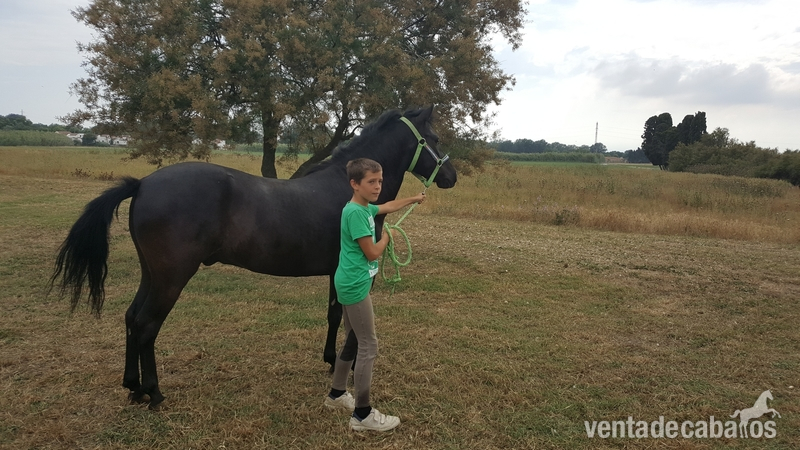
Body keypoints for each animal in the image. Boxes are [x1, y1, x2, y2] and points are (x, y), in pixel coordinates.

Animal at [49, 105, 457, 409]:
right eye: (435, 138)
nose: (451, 177)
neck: (349, 189)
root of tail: (143, 184)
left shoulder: (336, 273)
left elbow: (334, 315)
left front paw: (331, 361)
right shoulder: (359, 273)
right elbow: (354, 324)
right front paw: (352, 368)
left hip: (151, 274)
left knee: (132, 318)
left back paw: (133, 387)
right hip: (171, 277)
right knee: (148, 325)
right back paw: (153, 393)